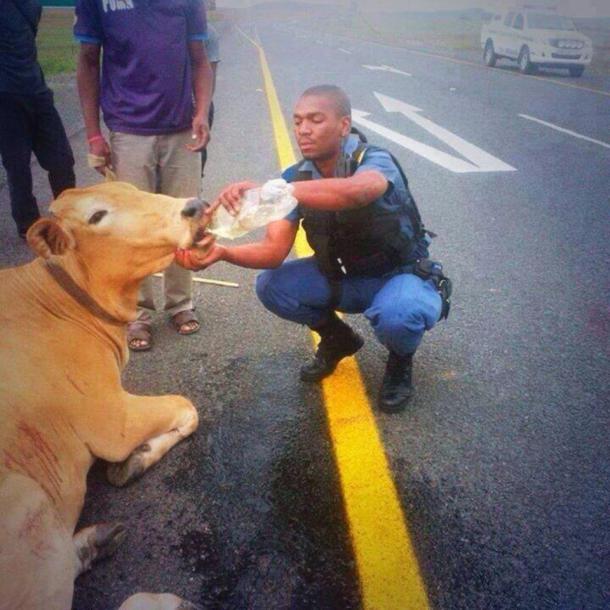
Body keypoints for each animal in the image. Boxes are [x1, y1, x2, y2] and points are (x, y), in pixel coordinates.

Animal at [0, 182, 209, 608]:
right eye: (96, 216)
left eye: (133, 189)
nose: (194, 207)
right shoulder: (113, 422)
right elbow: (187, 406)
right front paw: (138, 457)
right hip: (26, 496)